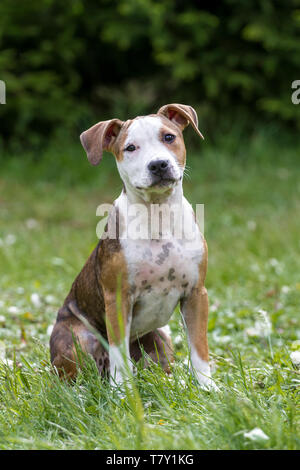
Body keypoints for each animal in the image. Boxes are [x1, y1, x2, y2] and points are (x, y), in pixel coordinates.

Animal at [50, 104, 217, 392]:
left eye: (169, 137)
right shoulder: (118, 298)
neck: (159, 215)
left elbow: (199, 348)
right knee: (76, 374)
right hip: (78, 338)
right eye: (130, 148)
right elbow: (119, 354)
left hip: (161, 340)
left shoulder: (196, 294)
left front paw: (208, 388)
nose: (159, 164)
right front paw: (122, 393)